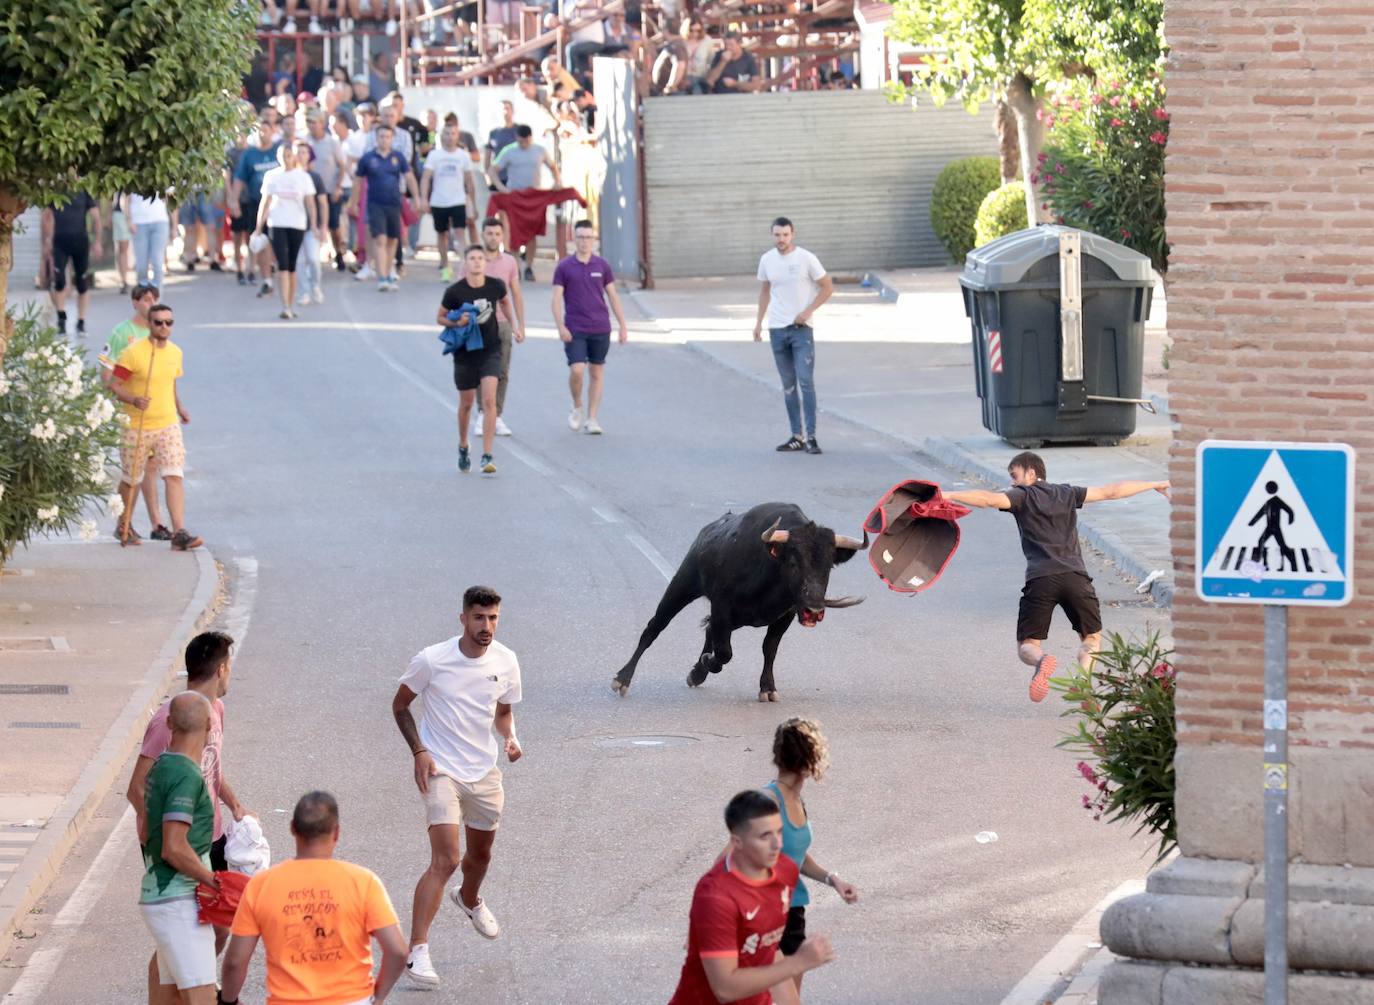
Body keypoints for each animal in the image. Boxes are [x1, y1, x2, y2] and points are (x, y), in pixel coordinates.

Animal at [615, 500, 868, 698]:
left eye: (828, 566)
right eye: (793, 562)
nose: (813, 611)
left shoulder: (784, 615)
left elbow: (769, 648)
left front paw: (768, 688)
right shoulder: (721, 607)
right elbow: (725, 652)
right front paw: (708, 661)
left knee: (709, 630)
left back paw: (696, 675)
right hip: (682, 586)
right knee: (654, 627)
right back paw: (623, 678)